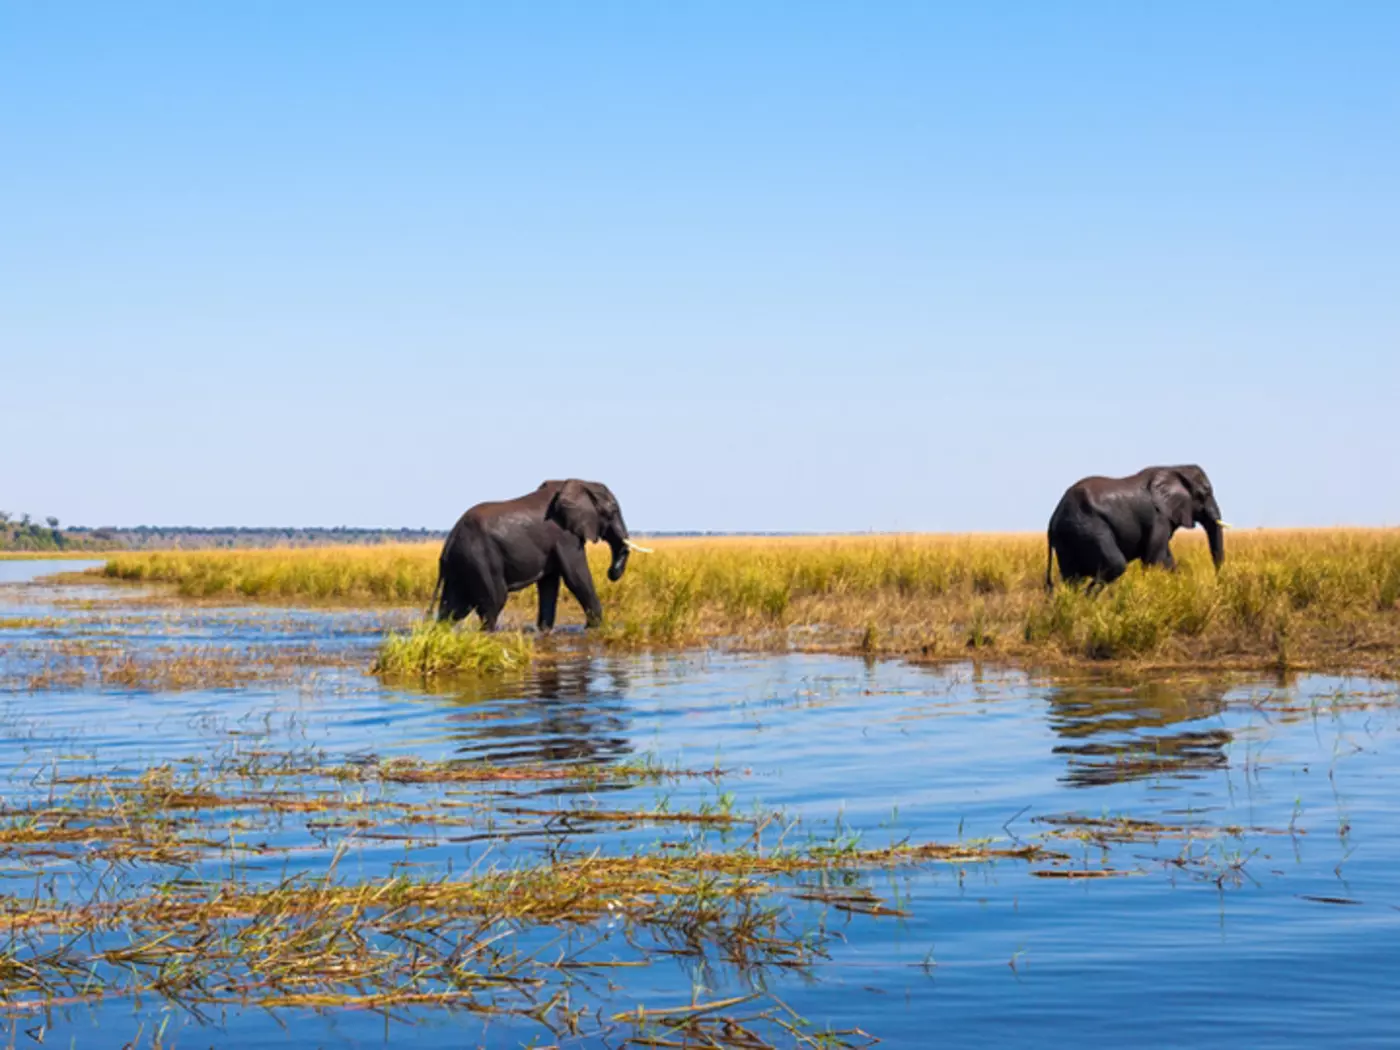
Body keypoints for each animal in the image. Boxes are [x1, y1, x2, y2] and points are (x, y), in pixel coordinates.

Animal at [431, 479, 645, 630]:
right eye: (613, 510)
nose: (611, 573)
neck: (580, 482)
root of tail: (449, 541)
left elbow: (549, 584)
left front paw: (544, 631)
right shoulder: (565, 536)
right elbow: (576, 577)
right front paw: (593, 628)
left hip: (462, 564)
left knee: (453, 608)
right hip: (480, 558)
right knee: (493, 602)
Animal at [1046, 465, 1229, 588]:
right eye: (1204, 494)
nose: (1218, 584)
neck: (1175, 468)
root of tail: (1053, 518)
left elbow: (1166, 558)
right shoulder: (1158, 516)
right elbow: (1154, 558)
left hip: (1068, 536)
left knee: (1073, 578)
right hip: (1087, 525)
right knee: (1115, 565)